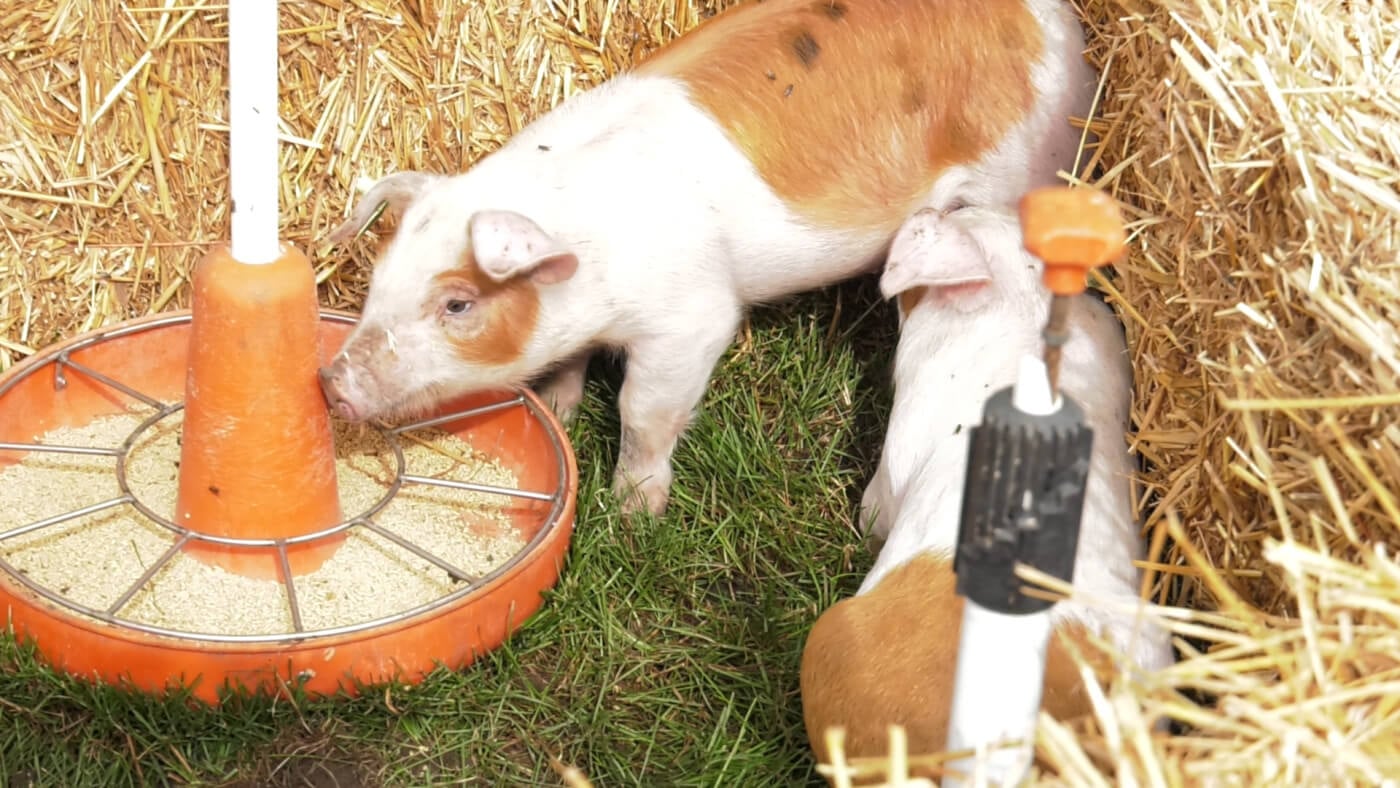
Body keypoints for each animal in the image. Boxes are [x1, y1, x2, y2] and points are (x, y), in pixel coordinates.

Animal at [318, 0, 1101, 516]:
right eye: (379, 281)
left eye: (457, 303)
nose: (332, 383)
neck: (592, 261)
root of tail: (1063, 22)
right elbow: (571, 367)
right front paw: (564, 410)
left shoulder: (692, 319)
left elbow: (643, 412)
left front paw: (633, 515)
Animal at [799, 205, 1175, 776]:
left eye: (957, 214)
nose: (934, 207)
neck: (1024, 302)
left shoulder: (896, 458)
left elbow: (874, 510)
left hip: (830, 644)